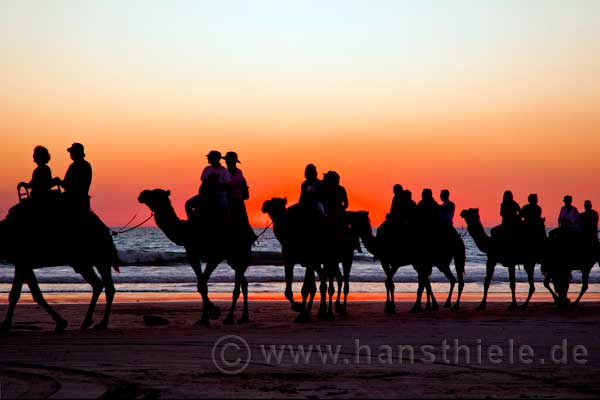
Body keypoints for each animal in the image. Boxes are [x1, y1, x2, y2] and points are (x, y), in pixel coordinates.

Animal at [139, 188, 253, 324]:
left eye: (155, 193)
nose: (142, 194)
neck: (188, 230)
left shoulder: (215, 256)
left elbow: (202, 284)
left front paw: (214, 312)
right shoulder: (192, 255)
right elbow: (201, 285)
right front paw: (205, 317)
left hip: (240, 254)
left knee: (238, 287)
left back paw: (230, 317)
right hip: (232, 259)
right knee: (244, 283)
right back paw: (244, 316)